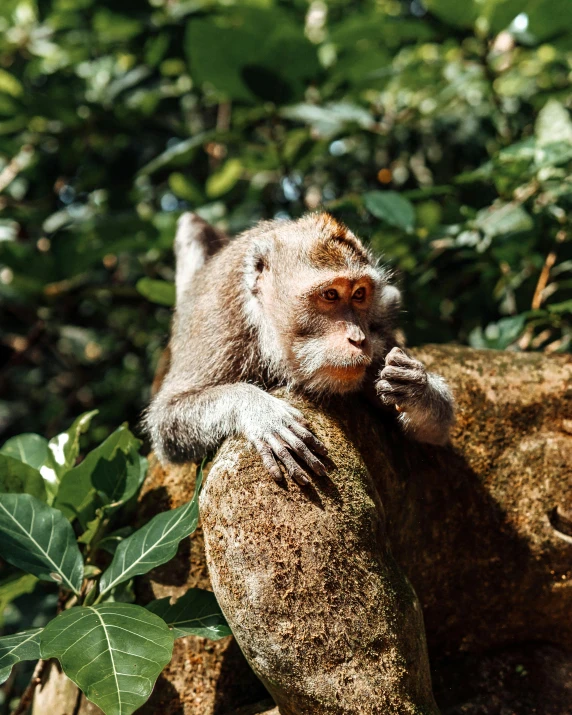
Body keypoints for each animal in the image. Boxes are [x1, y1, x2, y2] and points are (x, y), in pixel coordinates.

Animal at [146, 210, 456, 484]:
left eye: (359, 294)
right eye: (330, 295)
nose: (358, 338)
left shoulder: (378, 341)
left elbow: (433, 433)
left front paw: (417, 388)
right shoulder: (220, 323)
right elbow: (166, 422)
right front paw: (259, 410)